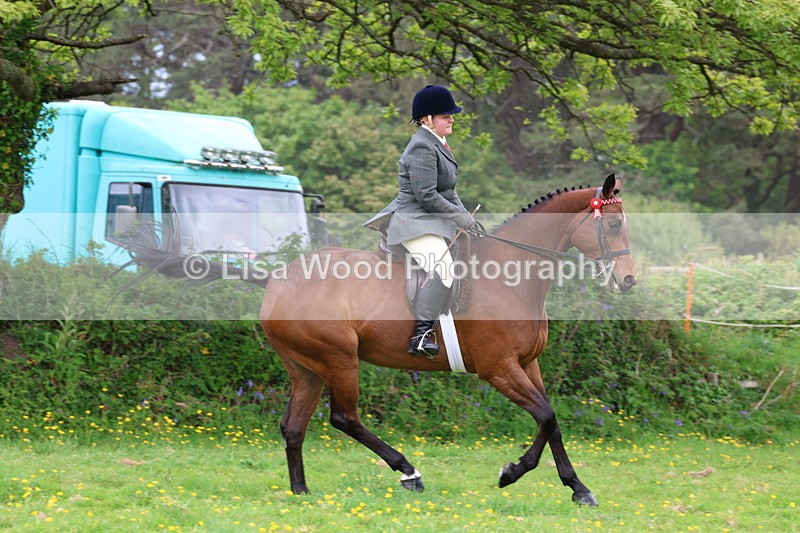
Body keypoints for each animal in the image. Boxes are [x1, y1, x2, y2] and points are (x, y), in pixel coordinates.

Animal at [121, 173, 635, 507]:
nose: (628, 282)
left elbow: (553, 422)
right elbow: (546, 418)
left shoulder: (528, 365)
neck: (513, 276)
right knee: (344, 418)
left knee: (294, 426)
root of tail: (276, 278)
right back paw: (409, 472)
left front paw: (578, 488)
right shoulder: (499, 368)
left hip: (304, 367)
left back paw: (302, 493)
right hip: (338, 359)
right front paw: (510, 474)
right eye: (613, 225)